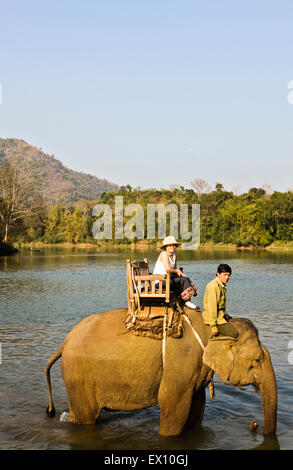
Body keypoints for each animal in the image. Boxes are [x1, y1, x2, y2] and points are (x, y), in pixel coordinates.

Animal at [45, 308, 276, 436]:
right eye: (256, 360)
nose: (254, 425)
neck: (215, 326)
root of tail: (66, 340)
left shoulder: (194, 369)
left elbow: (196, 409)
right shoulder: (181, 363)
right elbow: (173, 407)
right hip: (78, 374)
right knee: (85, 417)